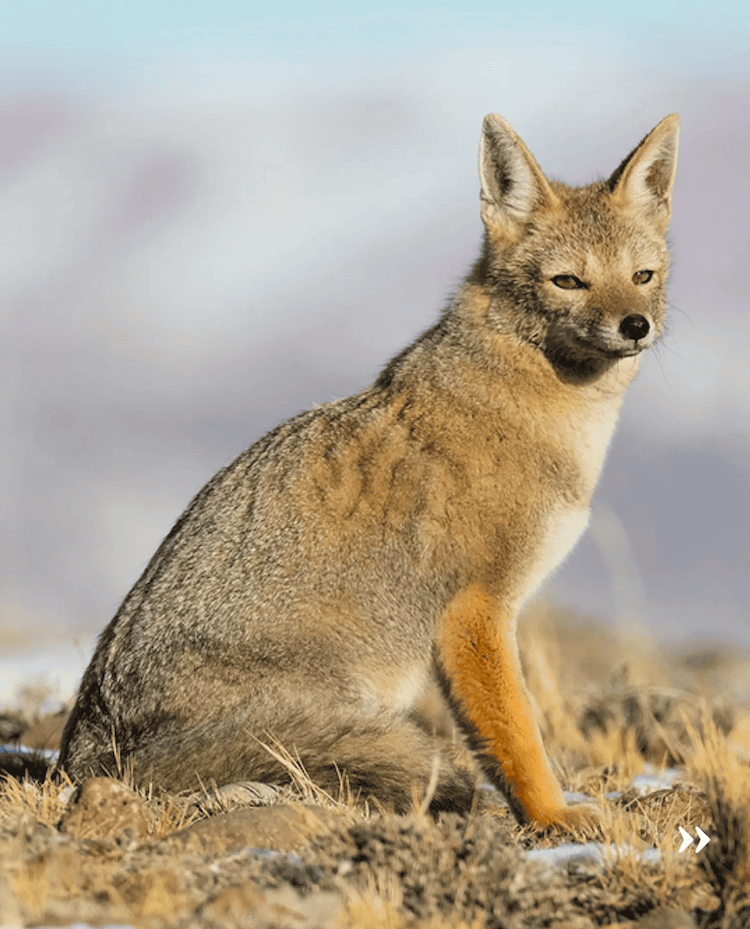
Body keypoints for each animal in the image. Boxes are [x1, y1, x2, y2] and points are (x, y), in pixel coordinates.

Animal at [49, 112, 679, 830]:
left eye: (643, 274)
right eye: (568, 281)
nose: (636, 325)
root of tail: (84, 754)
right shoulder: (476, 612)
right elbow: (519, 737)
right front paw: (552, 817)